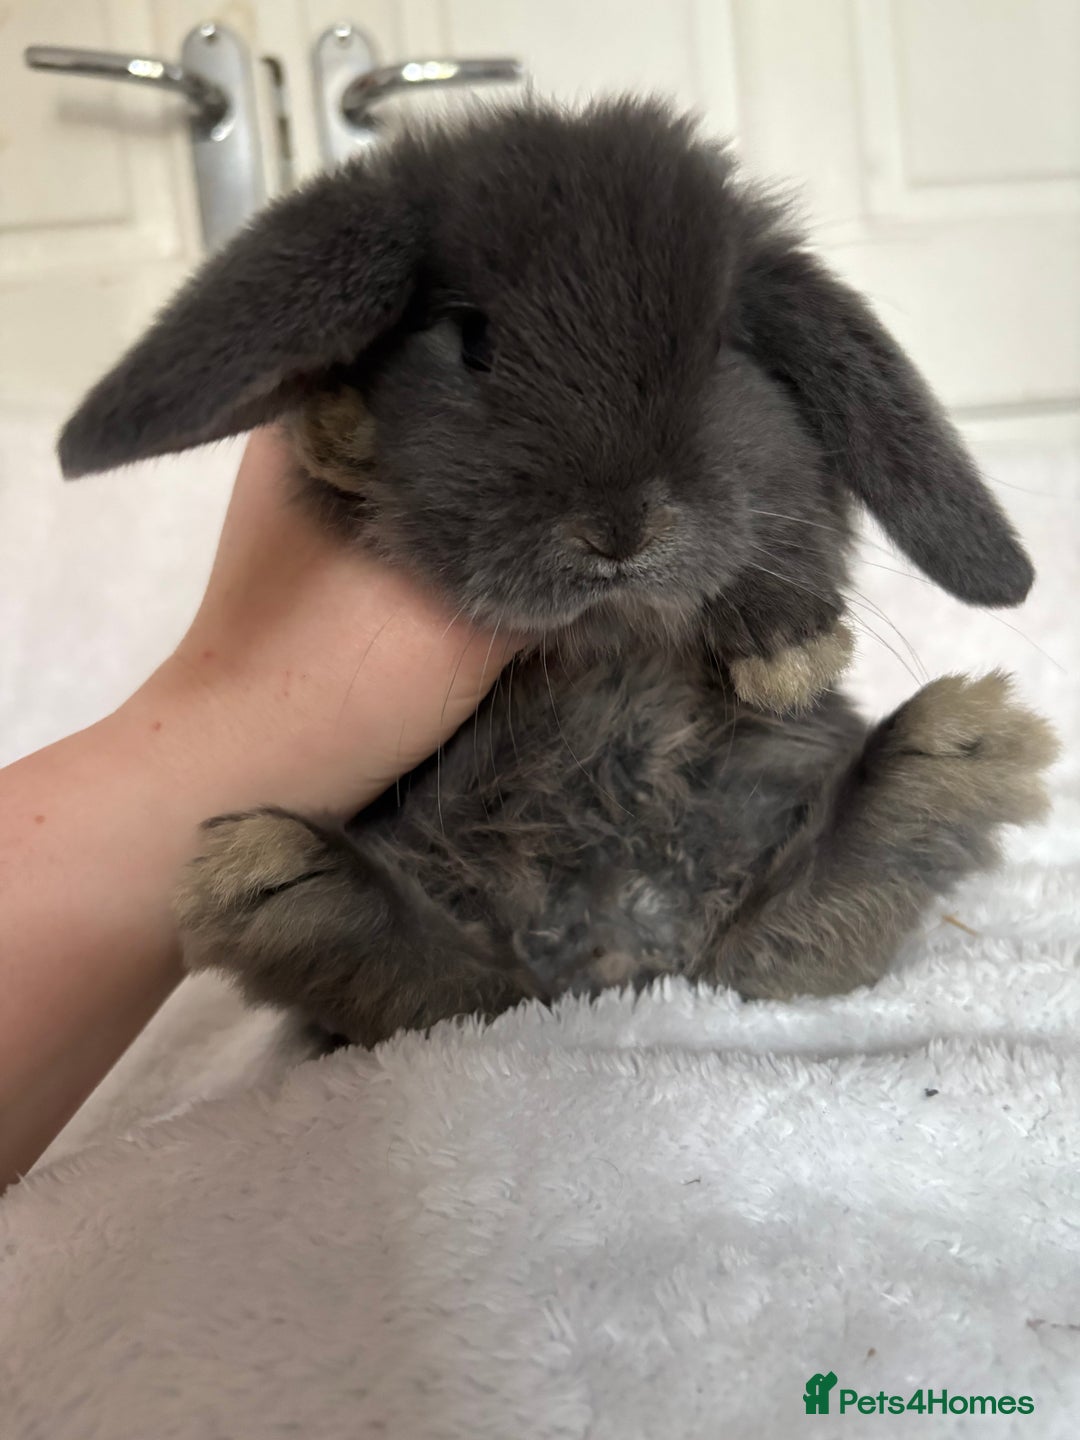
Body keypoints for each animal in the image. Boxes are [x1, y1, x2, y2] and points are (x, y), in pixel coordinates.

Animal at [59, 98, 1058, 1046]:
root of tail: (618, 958)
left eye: (721, 350)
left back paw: (942, 767)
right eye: (471, 340)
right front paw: (343, 430)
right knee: (443, 994)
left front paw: (787, 647)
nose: (619, 530)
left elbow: (788, 529)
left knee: (772, 948)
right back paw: (285, 891)